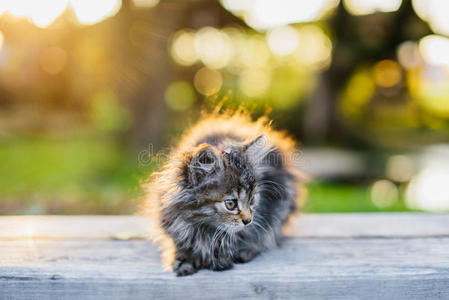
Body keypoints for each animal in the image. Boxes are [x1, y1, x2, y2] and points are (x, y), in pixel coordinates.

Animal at [145, 112, 300, 276]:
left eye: (252, 200)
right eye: (230, 204)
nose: (248, 220)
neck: (204, 228)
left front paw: (222, 257)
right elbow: (179, 242)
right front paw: (184, 259)